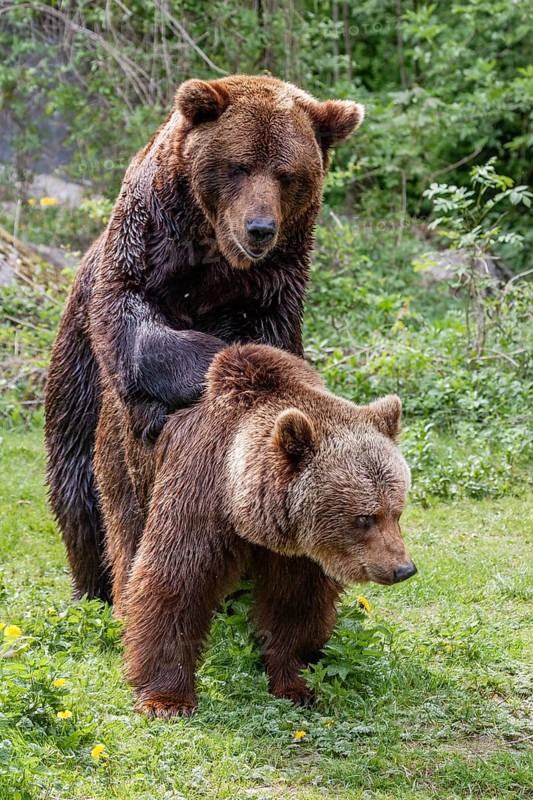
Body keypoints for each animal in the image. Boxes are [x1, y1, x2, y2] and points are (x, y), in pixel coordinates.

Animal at [44, 76, 365, 604]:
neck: (212, 255)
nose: (259, 229)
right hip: (77, 368)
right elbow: (134, 317)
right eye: (239, 165)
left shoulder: (271, 284)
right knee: (80, 481)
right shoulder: (146, 240)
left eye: (287, 174)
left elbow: (268, 340)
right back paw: (93, 586)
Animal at [94, 343, 416, 718]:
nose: (403, 568)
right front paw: (166, 700)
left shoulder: (298, 550)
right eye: (365, 517)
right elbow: (174, 582)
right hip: (126, 465)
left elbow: (294, 603)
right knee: (125, 538)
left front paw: (296, 684)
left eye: (396, 511)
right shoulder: (198, 491)